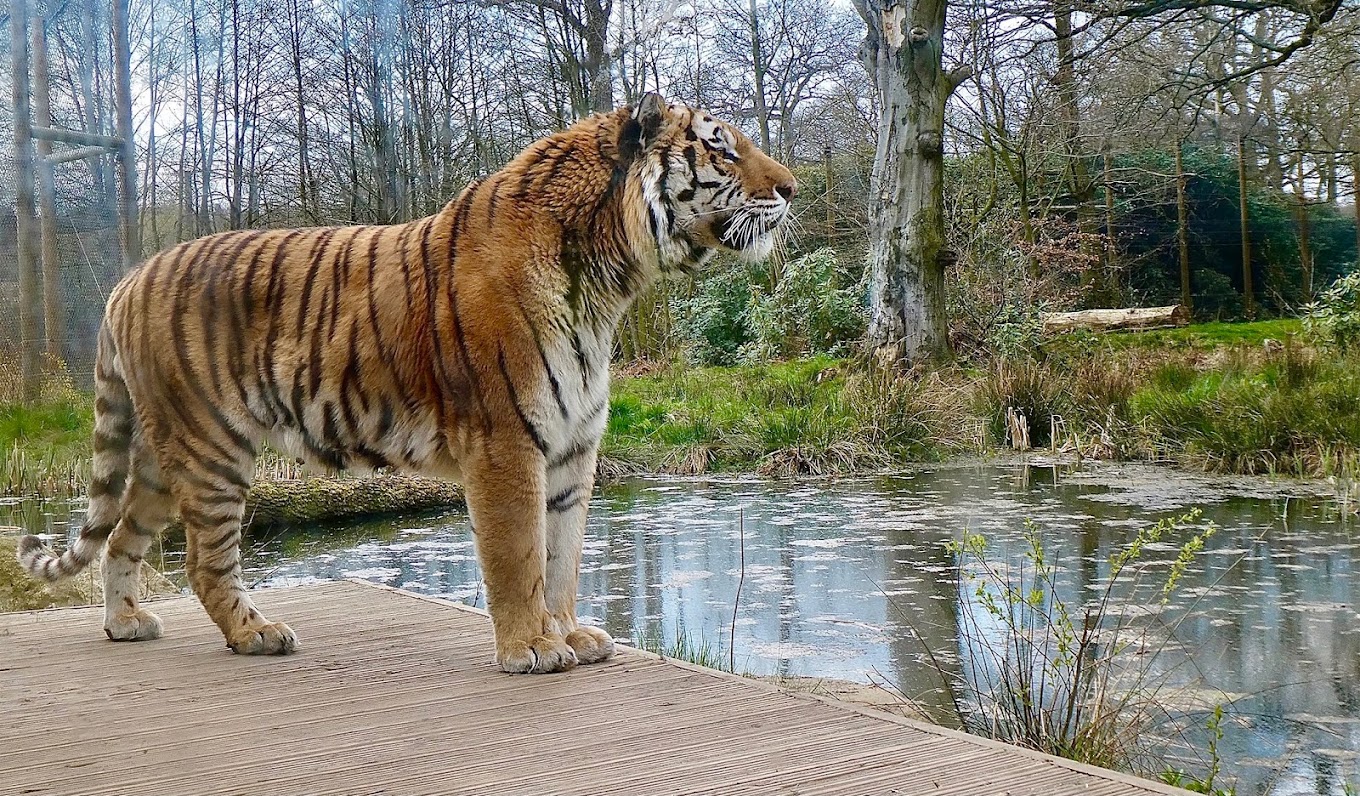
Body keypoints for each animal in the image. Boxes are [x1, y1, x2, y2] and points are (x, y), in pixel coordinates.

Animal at [16, 93, 796, 674]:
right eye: (722, 147)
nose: (792, 189)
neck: (608, 282)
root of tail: (125, 282)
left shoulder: (574, 452)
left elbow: (564, 555)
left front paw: (570, 634)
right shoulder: (506, 443)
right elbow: (519, 554)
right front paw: (532, 648)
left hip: (162, 455)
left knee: (121, 538)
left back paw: (126, 624)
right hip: (212, 452)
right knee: (207, 563)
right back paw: (256, 634)